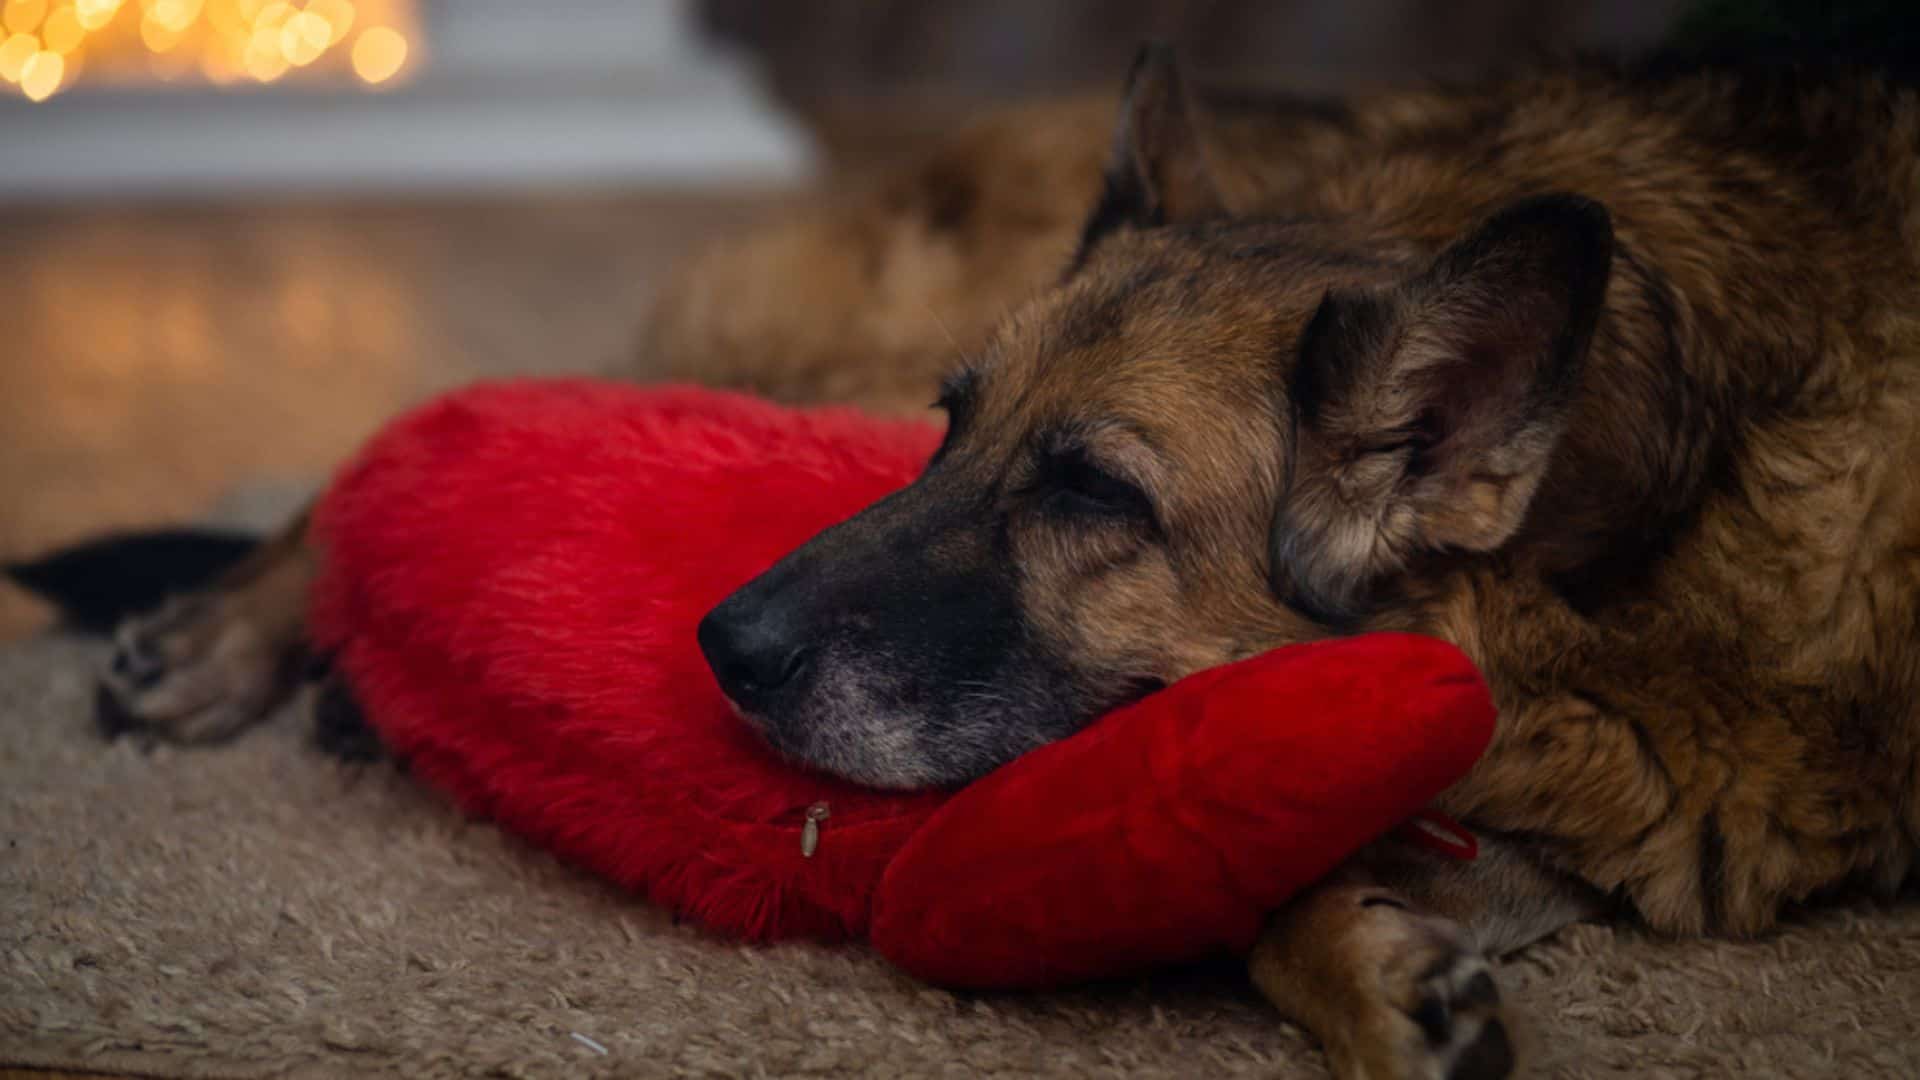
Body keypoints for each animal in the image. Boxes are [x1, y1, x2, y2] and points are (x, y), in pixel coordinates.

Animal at [26, 46, 1920, 1068]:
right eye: (962, 430)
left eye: (1092, 495)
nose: (719, 647)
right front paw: (1366, 967)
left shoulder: (1656, 817)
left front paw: (1379, 968)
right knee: (447, 427)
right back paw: (238, 634)